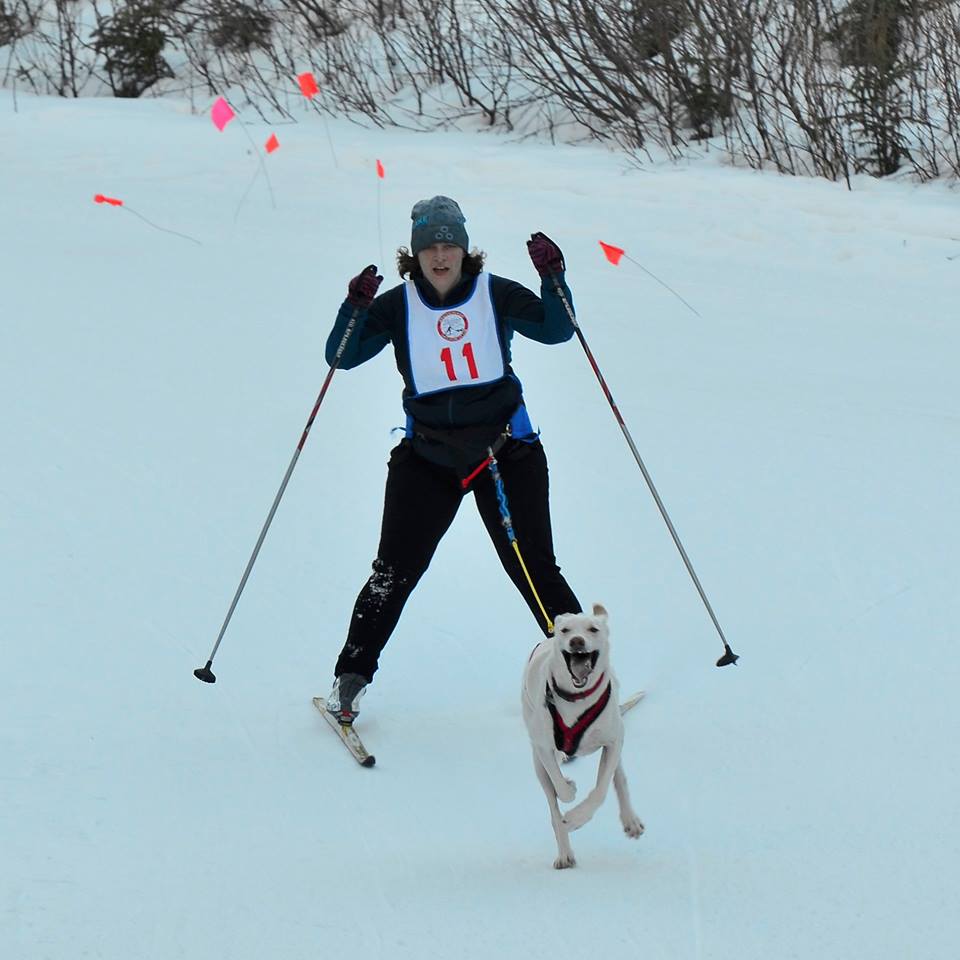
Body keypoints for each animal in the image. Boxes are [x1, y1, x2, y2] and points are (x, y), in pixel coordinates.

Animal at [520, 608, 640, 872]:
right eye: (565, 631)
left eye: (593, 629)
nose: (576, 642)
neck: (576, 699)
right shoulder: (543, 749)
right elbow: (561, 790)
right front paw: (570, 791)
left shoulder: (612, 742)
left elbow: (601, 790)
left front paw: (577, 818)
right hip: (537, 763)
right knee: (554, 810)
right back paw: (565, 853)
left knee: (619, 778)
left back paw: (630, 820)